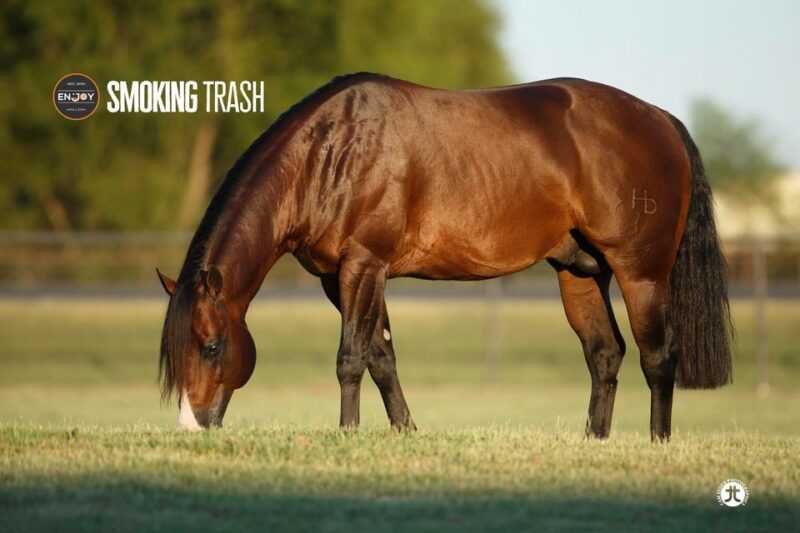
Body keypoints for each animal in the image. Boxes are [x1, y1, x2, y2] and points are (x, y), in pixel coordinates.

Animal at [156, 72, 732, 441]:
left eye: (211, 346)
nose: (191, 428)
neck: (333, 150)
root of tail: (660, 118)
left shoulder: (363, 265)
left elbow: (350, 358)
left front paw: (346, 435)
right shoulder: (344, 277)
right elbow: (381, 357)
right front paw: (405, 431)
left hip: (642, 275)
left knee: (659, 357)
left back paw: (658, 443)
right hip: (579, 273)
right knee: (605, 353)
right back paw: (595, 442)